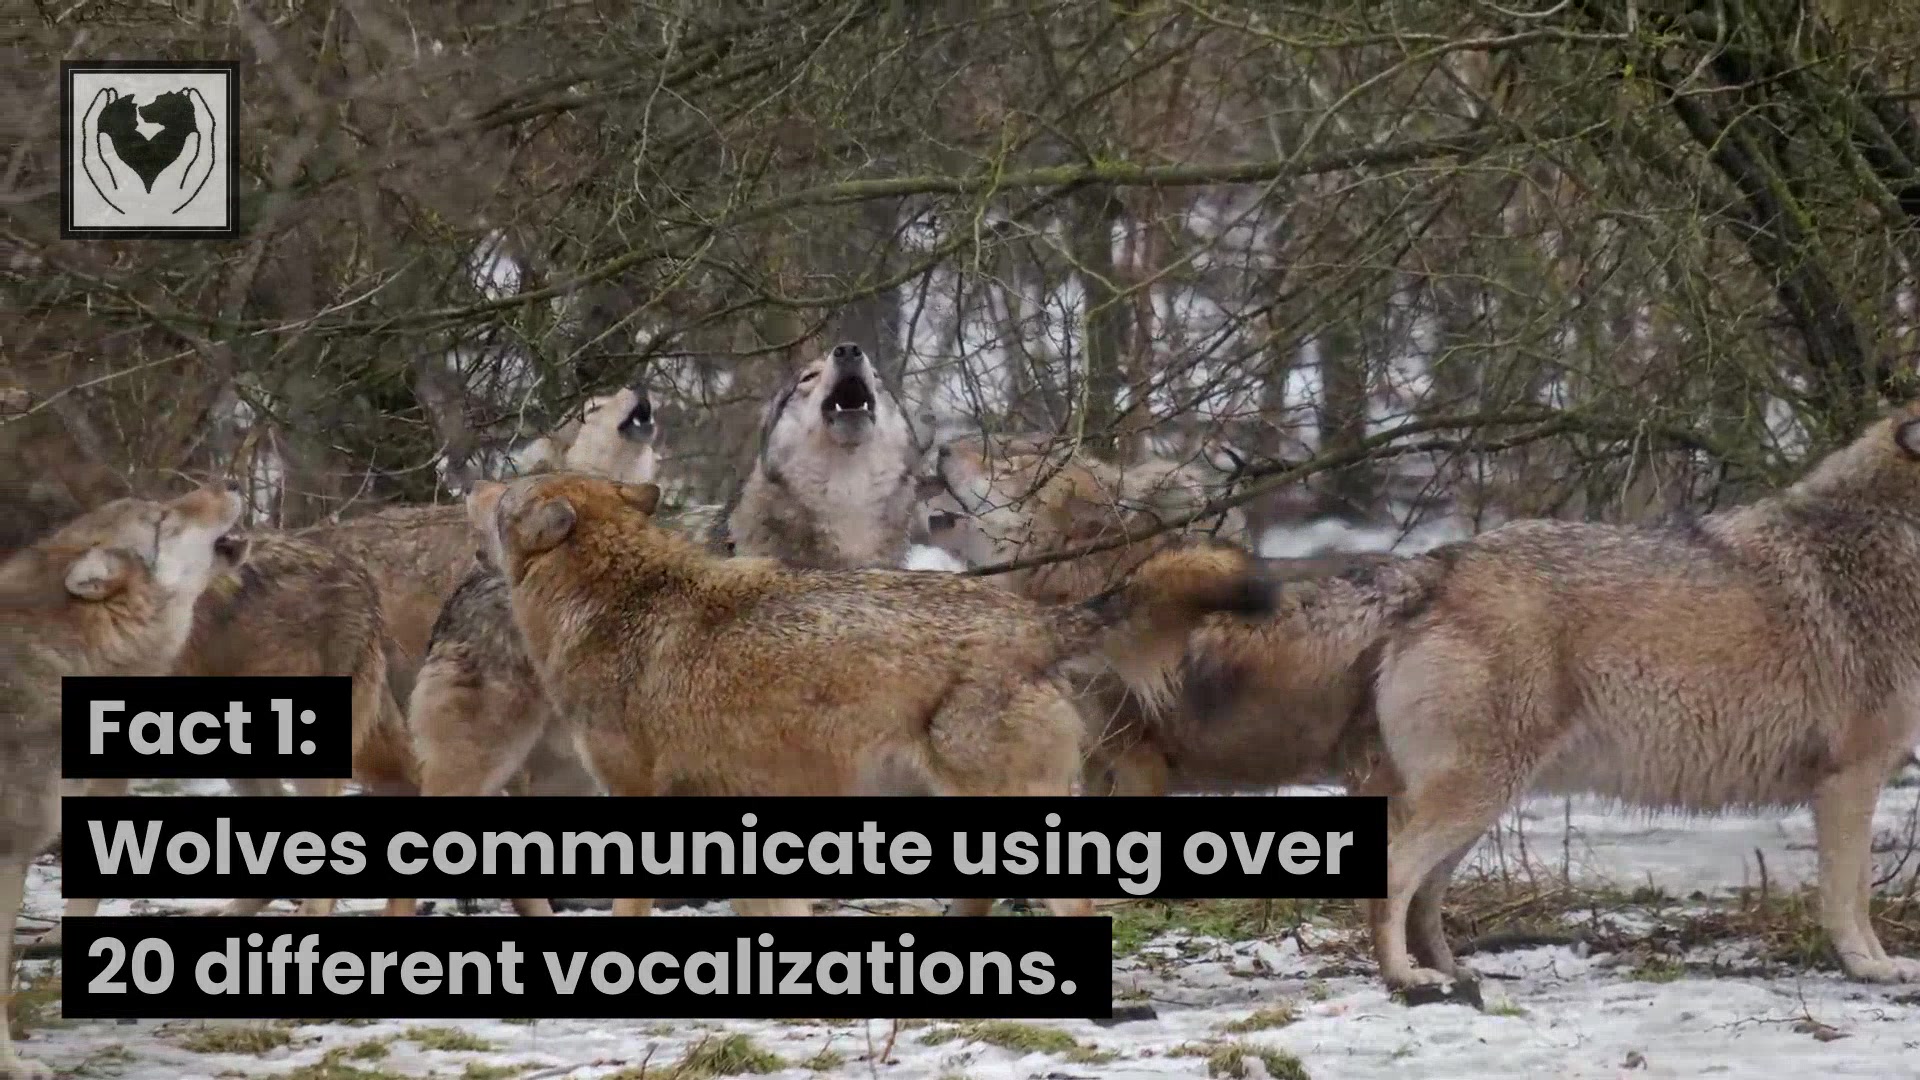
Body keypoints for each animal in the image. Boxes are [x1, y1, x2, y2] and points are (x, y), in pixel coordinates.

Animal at [1338, 404, 1920, 990]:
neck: (1893, 535)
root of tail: (1437, 566)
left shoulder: (1856, 781)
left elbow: (1856, 891)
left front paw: (1881, 963)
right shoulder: (1850, 780)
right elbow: (1852, 897)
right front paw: (1869, 966)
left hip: (1479, 808)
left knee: (1425, 897)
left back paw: (1454, 974)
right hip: (1477, 795)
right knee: (1396, 878)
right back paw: (1405, 978)